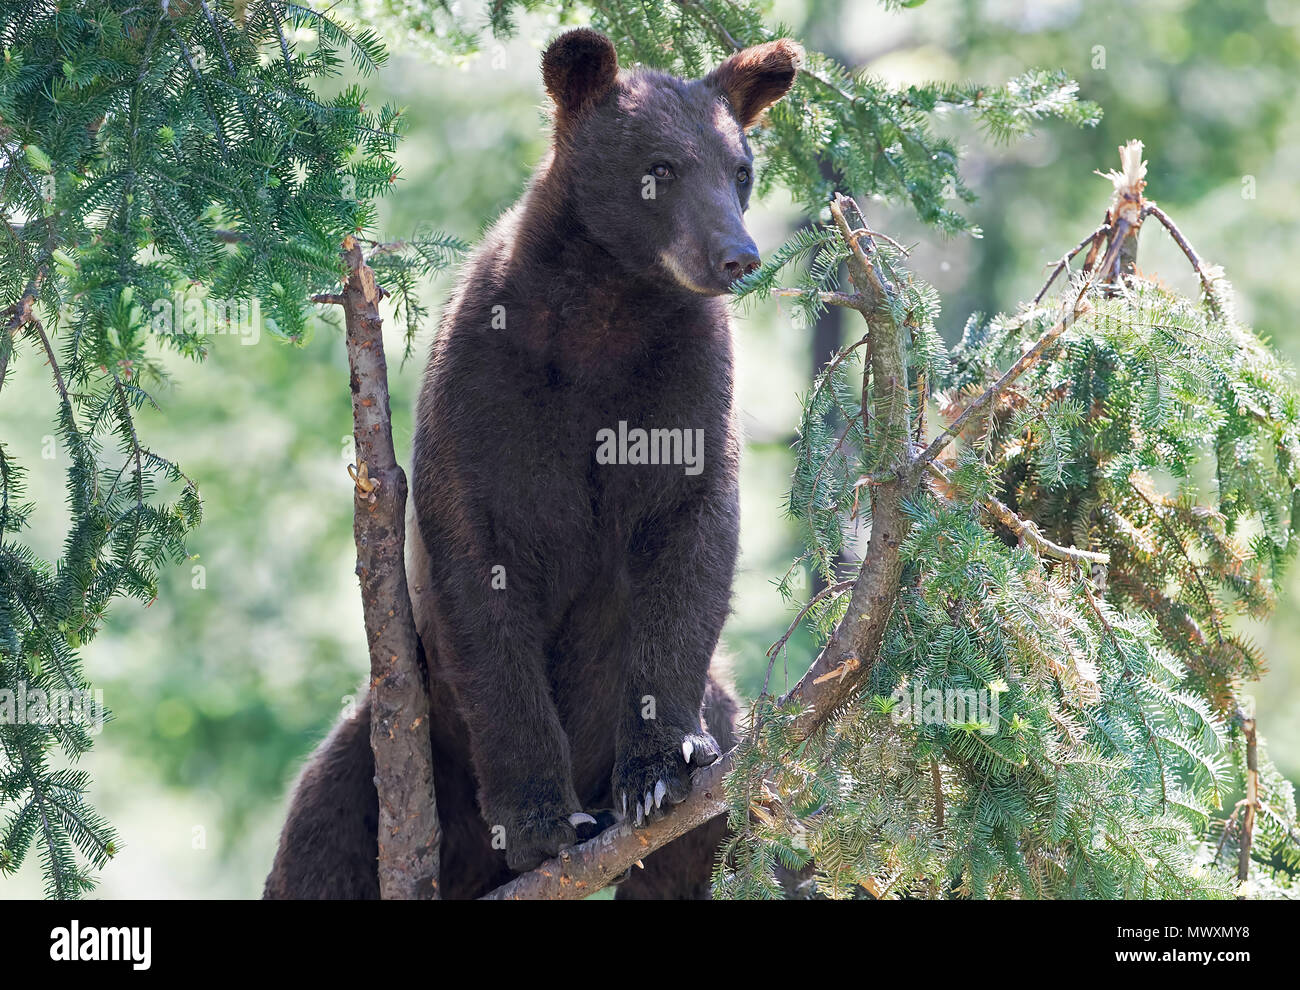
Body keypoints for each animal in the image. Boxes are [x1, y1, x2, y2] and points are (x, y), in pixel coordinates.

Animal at [264, 27, 801, 900]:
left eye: (741, 169)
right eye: (660, 168)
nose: (737, 256)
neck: (603, 316)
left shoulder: (683, 381)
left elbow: (688, 535)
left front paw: (660, 766)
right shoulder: (490, 393)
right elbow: (483, 576)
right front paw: (540, 820)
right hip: (377, 759)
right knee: (321, 837)